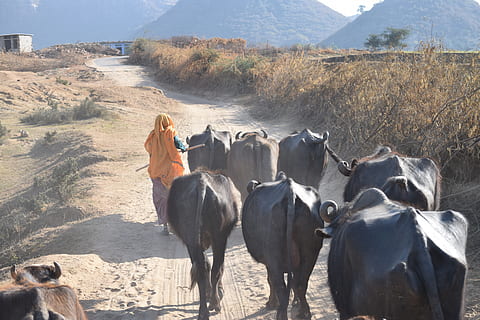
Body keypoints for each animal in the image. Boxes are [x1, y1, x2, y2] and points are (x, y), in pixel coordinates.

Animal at [168, 171, 242, 318]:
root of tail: (202, 183)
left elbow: (206, 264)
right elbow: (217, 267)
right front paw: (219, 291)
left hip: (192, 241)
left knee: (201, 272)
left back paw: (203, 311)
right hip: (218, 238)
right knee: (216, 269)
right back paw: (215, 303)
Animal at [244, 172, 322, 320]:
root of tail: (290, 193)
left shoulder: (269, 263)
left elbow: (271, 280)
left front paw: (271, 303)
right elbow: (294, 281)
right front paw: (295, 303)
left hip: (274, 256)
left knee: (280, 285)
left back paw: (282, 313)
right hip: (310, 253)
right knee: (300, 283)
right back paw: (303, 313)